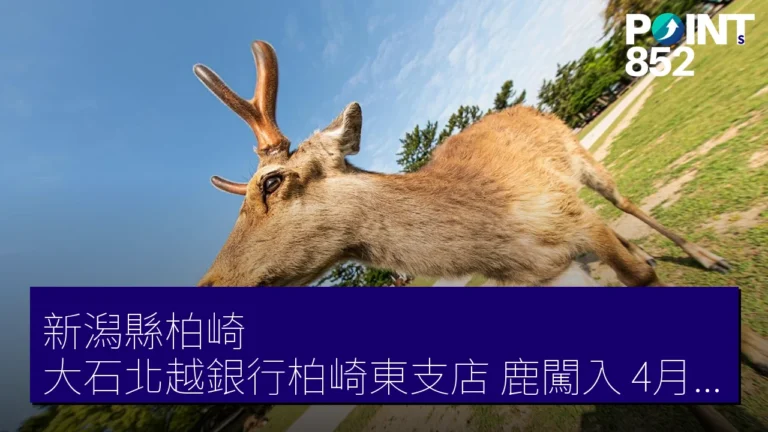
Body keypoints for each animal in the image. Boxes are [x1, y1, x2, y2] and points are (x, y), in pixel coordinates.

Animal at [193, 41, 767, 430]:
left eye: (271, 182)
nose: (208, 285)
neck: (503, 242)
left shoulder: (573, 217)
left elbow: (643, 278)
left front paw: (755, 353)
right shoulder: (553, 277)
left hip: (582, 160)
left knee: (625, 202)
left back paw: (707, 257)